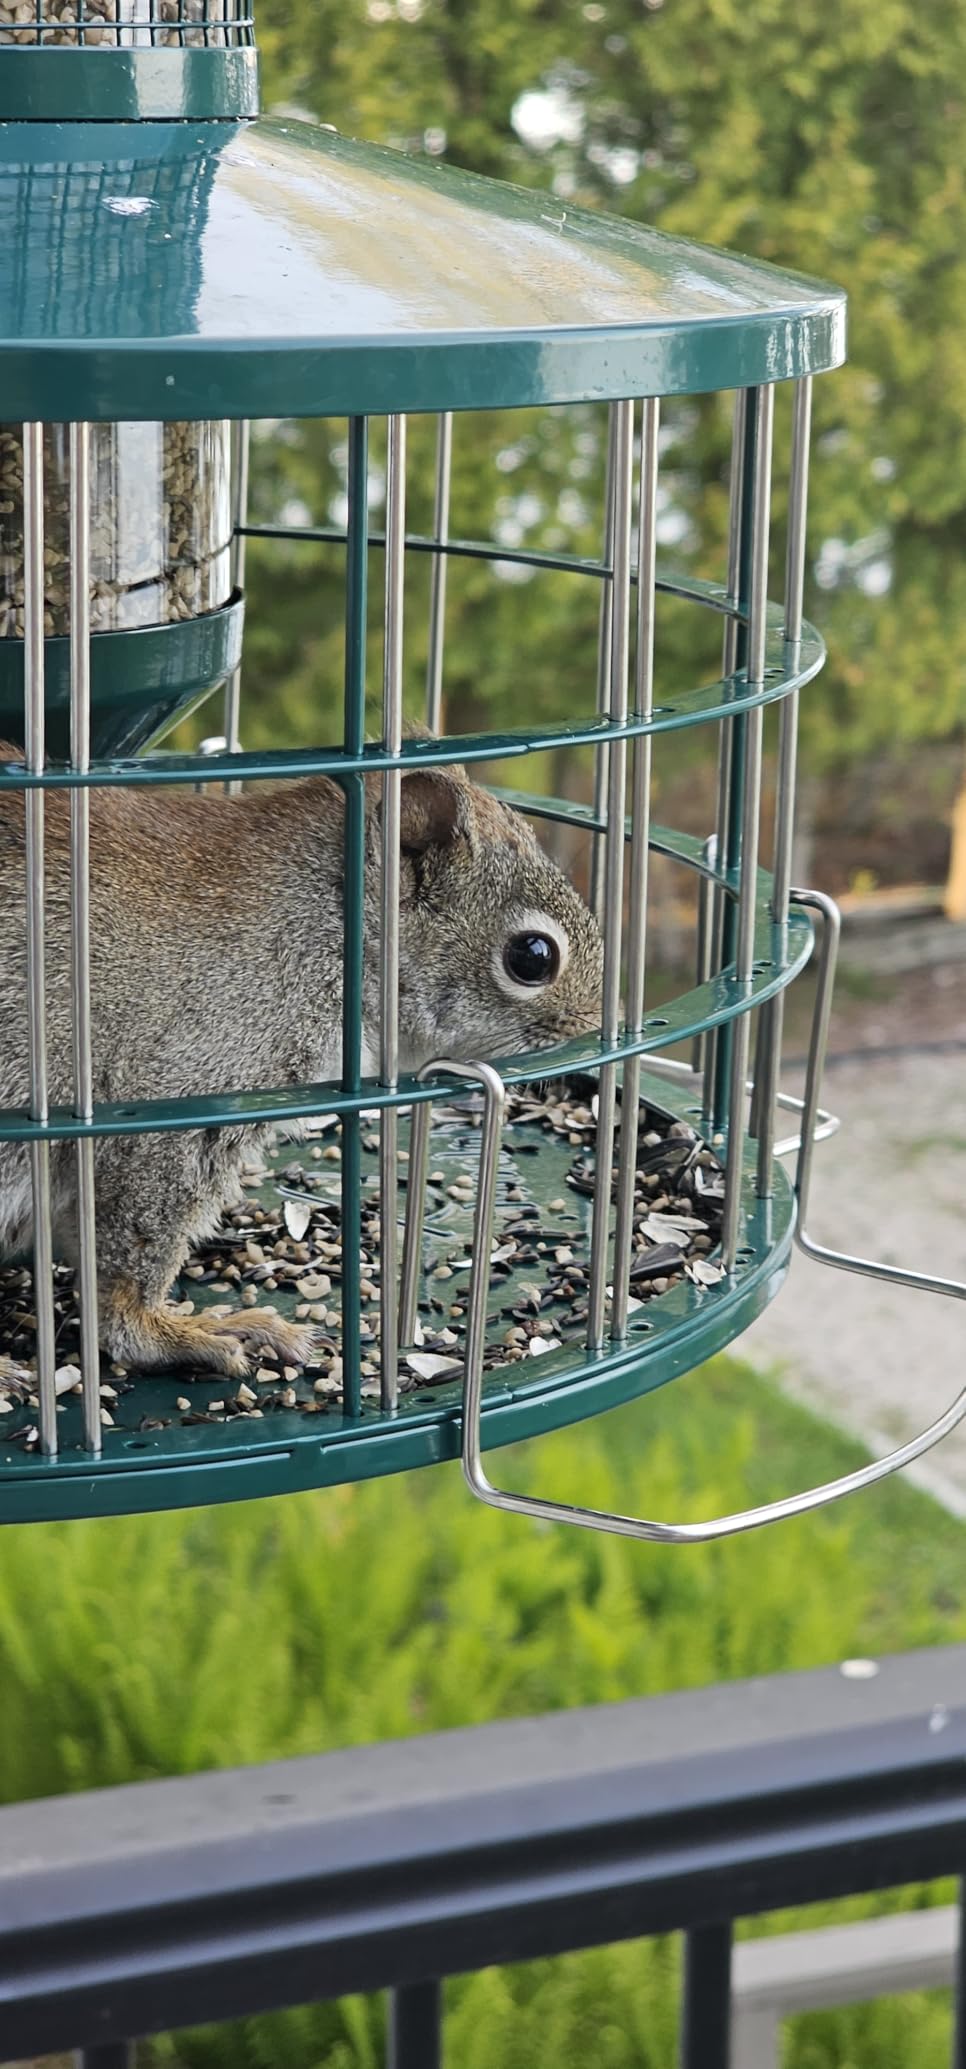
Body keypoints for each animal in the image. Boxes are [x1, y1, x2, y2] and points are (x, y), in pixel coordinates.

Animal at [0, 744, 603, 1379]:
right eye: (532, 956)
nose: (593, 1027)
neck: (329, 926)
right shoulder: (180, 1098)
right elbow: (124, 1279)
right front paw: (170, 1330)